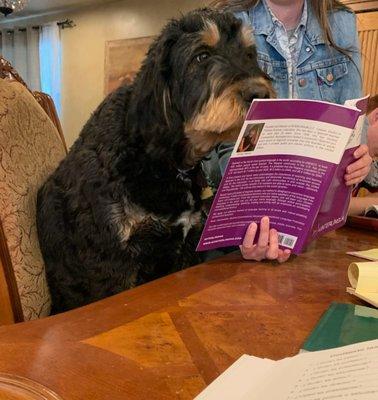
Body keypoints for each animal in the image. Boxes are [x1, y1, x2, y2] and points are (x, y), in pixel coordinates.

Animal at [37, 7, 274, 312]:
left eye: (249, 54)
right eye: (201, 56)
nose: (260, 94)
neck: (159, 159)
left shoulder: (183, 245)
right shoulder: (111, 262)